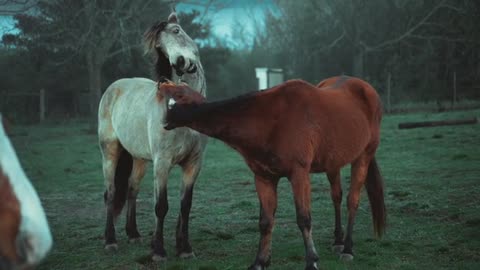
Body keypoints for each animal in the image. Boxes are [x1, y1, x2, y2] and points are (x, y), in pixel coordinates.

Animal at [98, 11, 207, 260]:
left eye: (177, 31)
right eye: (160, 47)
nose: (180, 62)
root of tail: (114, 87)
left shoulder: (193, 163)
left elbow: (185, 205)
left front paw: (185, 248)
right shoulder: (162, 163)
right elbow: (161, 206)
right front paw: (158, 251)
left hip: (139, 159)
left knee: (131, 190)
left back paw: (133, 234)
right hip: (110, 152)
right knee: (111, 193)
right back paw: (110, 241)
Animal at [159, 76, 384, 270]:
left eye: (177, 95)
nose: (163, 122)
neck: (270, 119)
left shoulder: (299, 174)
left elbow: (304, 218)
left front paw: (311, 261)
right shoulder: (264, 178)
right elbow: (266, 222)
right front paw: (260, 261)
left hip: (364, 156)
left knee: (352, 200)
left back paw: (347, 248)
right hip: (333, 162)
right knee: (336, 197)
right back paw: (338, 241)